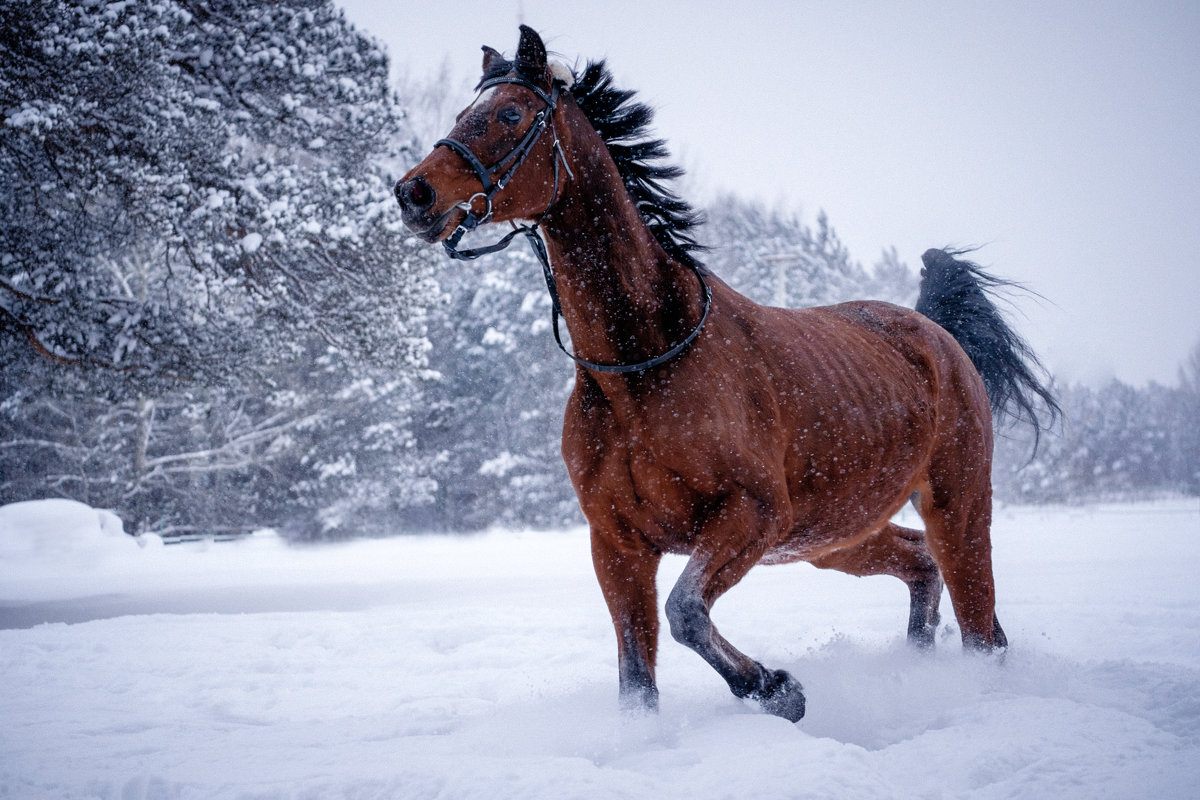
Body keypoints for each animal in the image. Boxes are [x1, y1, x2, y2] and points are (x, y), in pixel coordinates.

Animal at [396, 28, 1060, 724]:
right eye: (464, 111)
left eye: (509, 114)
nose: (414, 193)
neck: (643, 366)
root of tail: (935, 333)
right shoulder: (617, 544)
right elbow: (637, 678)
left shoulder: (753, 514)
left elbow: (686, 612)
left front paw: (778, 688)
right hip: (834, 536)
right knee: (921, 564)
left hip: (955, 506)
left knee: (980, 624)